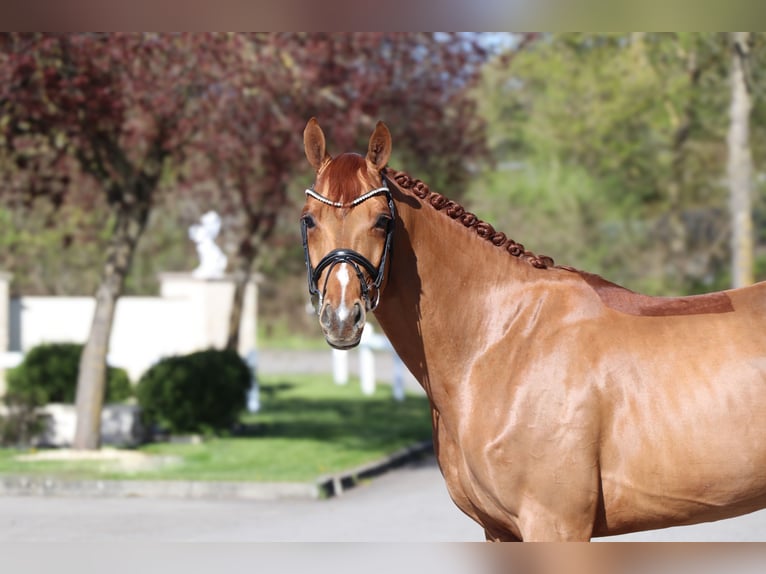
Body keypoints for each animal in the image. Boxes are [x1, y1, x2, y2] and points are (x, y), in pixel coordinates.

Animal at [299, 117, 766, 541]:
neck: (501, 338)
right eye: (308, 220)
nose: (341, 317)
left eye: (382, 220)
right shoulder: (498, 531)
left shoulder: (555, 525)